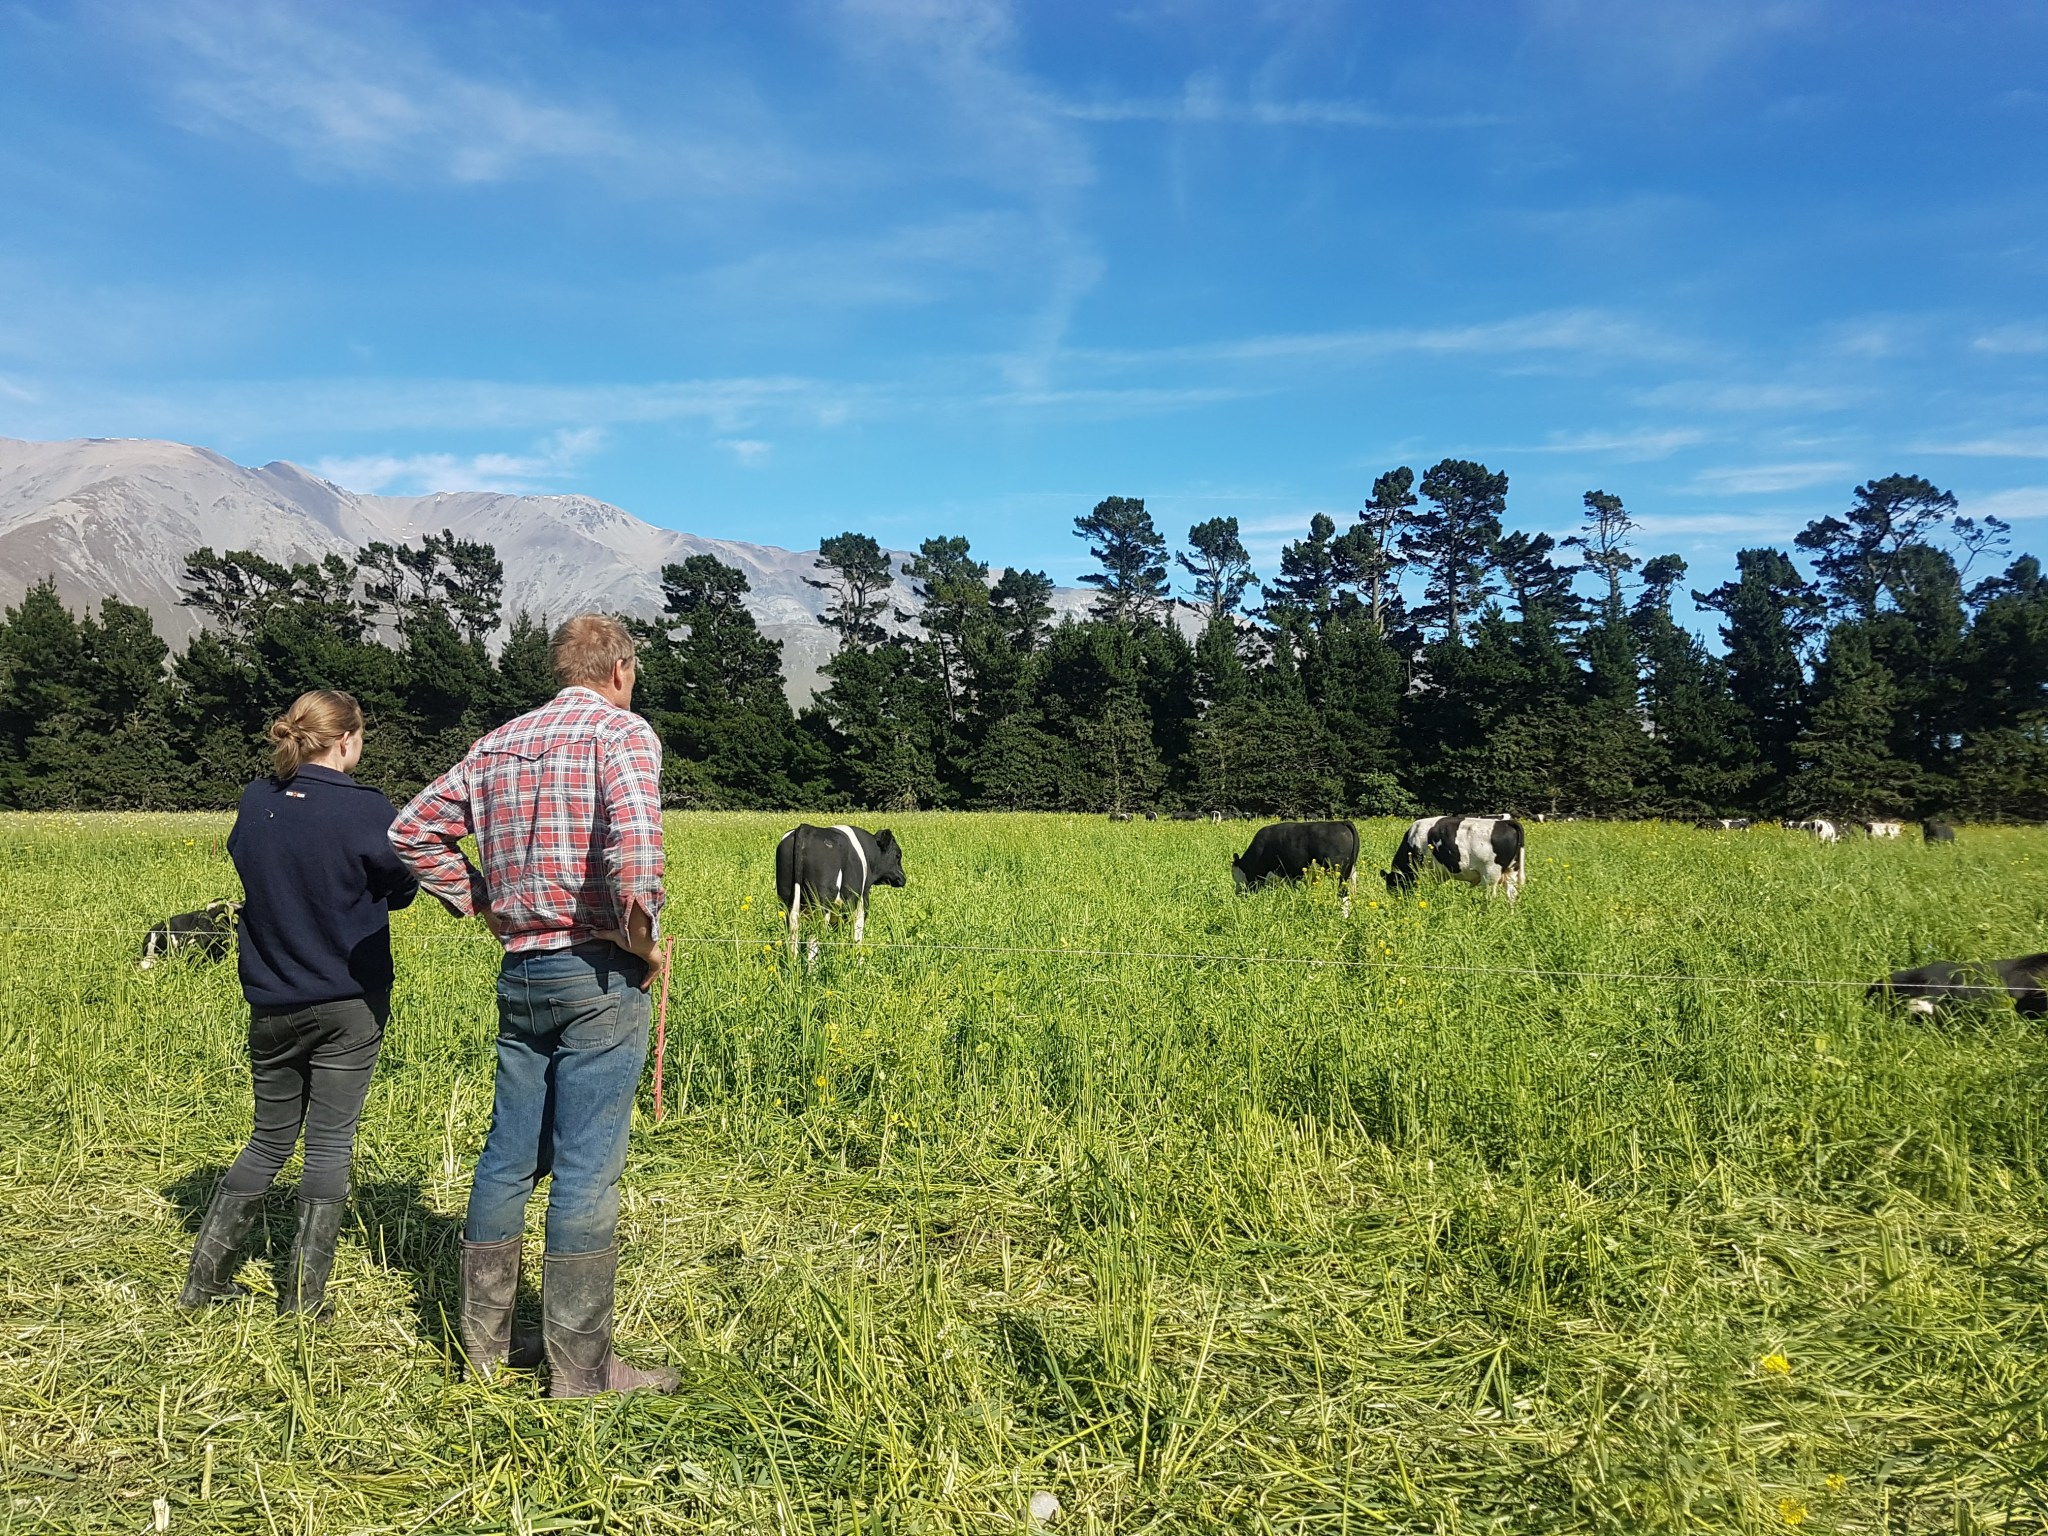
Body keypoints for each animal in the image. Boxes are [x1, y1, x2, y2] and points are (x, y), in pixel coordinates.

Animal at [770, 823, 905, 958]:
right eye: (898, 855)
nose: (903, 878)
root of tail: (806, 828)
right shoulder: (861, 904)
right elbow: (857, 937)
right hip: (821, 907)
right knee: (813, 938)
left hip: (786, 901)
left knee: (792, 935)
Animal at [1228, 823, 1359, 921]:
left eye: (1234, 875)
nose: (1237, 893)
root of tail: (1342, 822)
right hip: (1351, 872)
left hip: (1339, 873)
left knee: (1343, 894)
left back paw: (1343, 916)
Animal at [1384, 811, 1531, 909]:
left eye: (1392, 885)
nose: (1399, 901)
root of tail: (1507, 823)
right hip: (1511, 872)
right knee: (1511, 896)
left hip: (1490, 874)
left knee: (1490, 898)